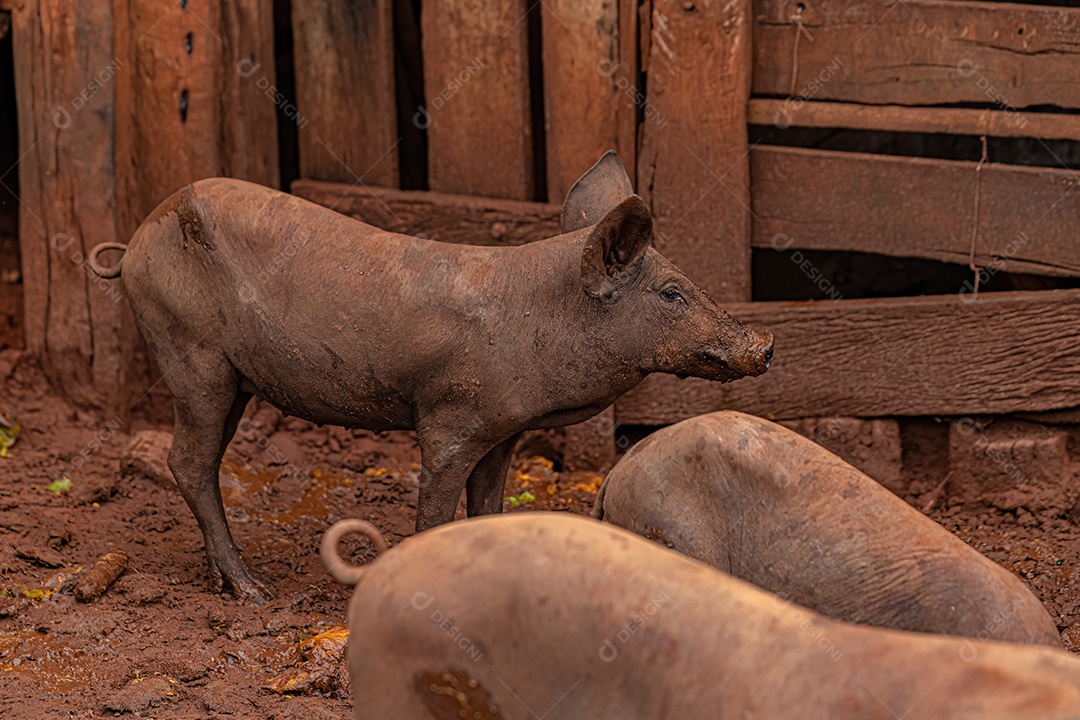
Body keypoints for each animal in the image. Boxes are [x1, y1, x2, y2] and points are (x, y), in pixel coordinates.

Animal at [88, 152, 773, 604]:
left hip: (232, 378)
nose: (764, 345)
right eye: (672, 293)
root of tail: (134, 244)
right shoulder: (450, 419)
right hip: (189, 350)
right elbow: (437, 508)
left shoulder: (504, 432)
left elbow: (488, 505)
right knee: (188, 460)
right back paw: (253, 591)